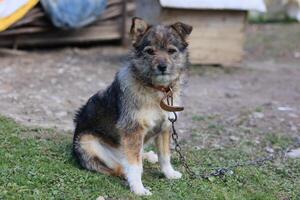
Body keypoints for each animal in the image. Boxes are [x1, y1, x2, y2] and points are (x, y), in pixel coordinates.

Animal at [72, 17, 192, 195]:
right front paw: (138, 188)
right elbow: (135, 167)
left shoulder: (164, 127)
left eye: (171, 51)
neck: (155, 90)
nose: (162, 67)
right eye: (150, 51)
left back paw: (148, 156)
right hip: (88, 141)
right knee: (121, 167)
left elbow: (165, 156)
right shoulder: (133, 130)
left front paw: (169, 174)